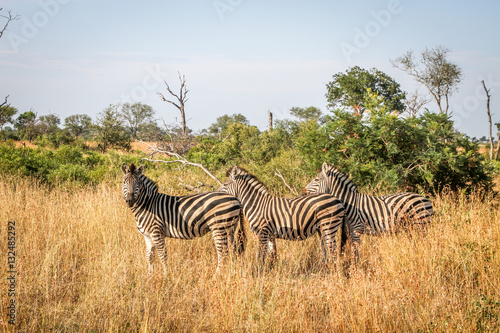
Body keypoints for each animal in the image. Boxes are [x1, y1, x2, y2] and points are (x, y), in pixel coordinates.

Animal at [302, 161, 436, 256]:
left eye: (316, 179)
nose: (303, 192)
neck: (349, 203)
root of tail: (426, 199)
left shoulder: (356, 230)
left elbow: (355, 253)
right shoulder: (348, 231)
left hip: (421, 225)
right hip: (412, 228)